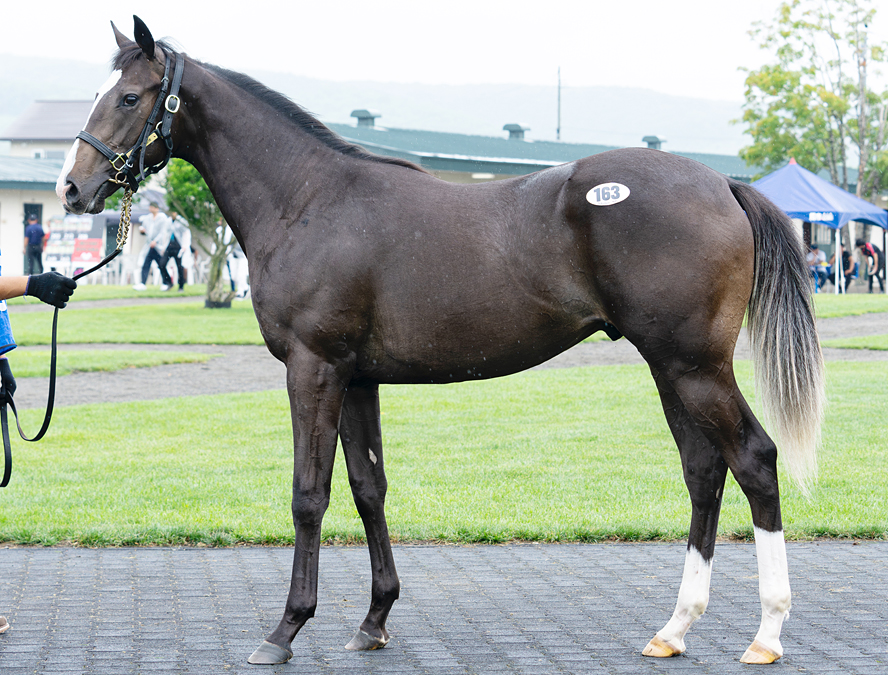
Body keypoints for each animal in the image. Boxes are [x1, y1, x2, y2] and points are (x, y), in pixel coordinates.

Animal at [56, 16, 825, 666]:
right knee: (704, 470)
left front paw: (285, 629)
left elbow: (310, 494)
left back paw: (766, 633)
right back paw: (674, 628)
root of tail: (722, 184)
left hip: (694, 366)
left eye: (129, 97)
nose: (72, 189)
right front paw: (374, 620)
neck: (307, 199)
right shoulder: (357, 377)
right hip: (670, 367)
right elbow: (368, 487)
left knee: (753, 460)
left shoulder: (314, 368)